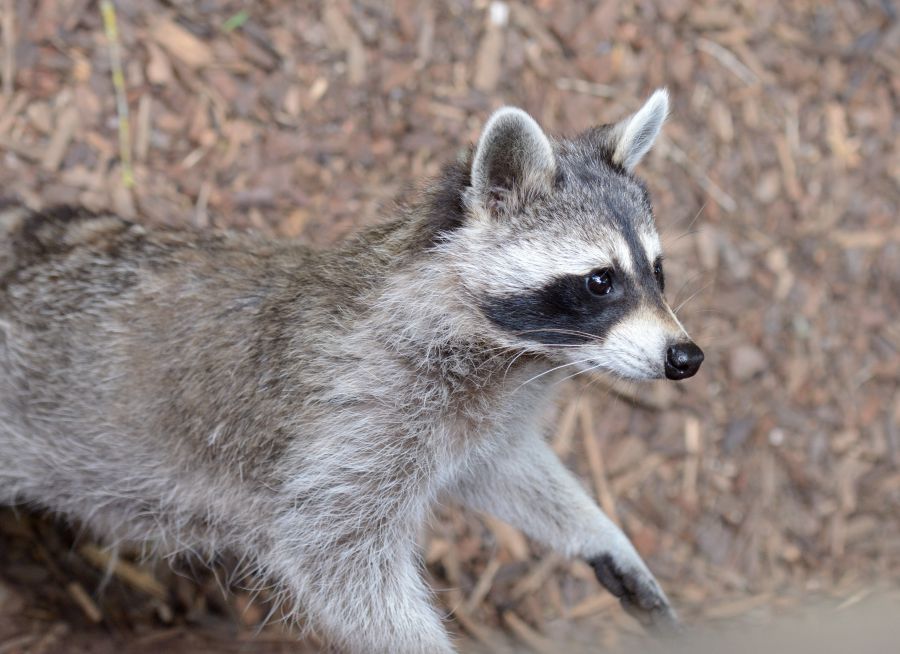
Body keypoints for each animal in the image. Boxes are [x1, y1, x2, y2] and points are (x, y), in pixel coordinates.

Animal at [0, 91, 704, 654]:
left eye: (658, 271)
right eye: (599, 281)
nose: (686, 357)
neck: (509, 358)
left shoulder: (474, 421)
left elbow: (502, 470)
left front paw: (597, 532)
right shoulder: (357, 418)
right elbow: (335, 558)